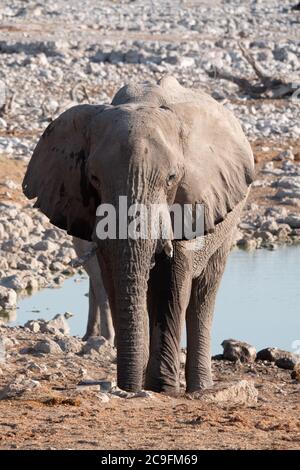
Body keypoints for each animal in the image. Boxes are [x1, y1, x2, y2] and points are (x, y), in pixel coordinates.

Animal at [22, 75, 254, 394]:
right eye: (93, 178)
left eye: (172, 178)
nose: (130, 388)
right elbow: (113, 277)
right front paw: (138, 383)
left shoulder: (190, 202)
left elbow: (173, 282)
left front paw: (162, 387)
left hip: (230, 219)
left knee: (204, 292)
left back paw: (199, 387)